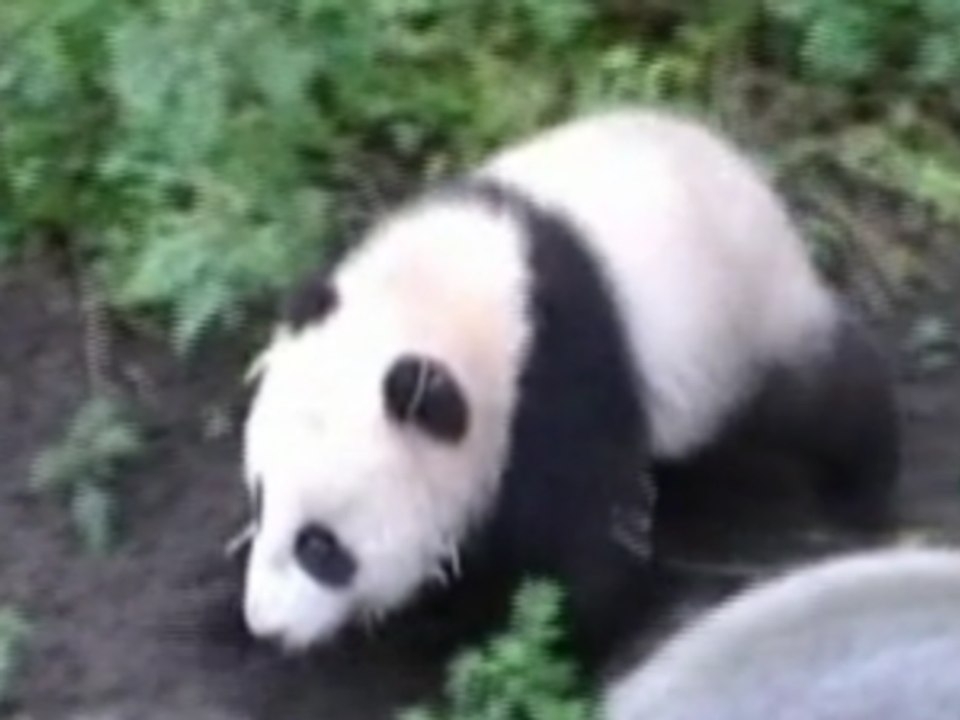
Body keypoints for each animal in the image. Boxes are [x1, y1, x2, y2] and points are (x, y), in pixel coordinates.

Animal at [236, 106, 899, 665]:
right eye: (259, 499)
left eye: (320, 547)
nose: (263, 623)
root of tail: (747, 174)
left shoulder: (556, 383)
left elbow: (590, 541)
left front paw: (544, 643)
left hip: (742, 324)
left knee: (818, 398)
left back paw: (861, 487)